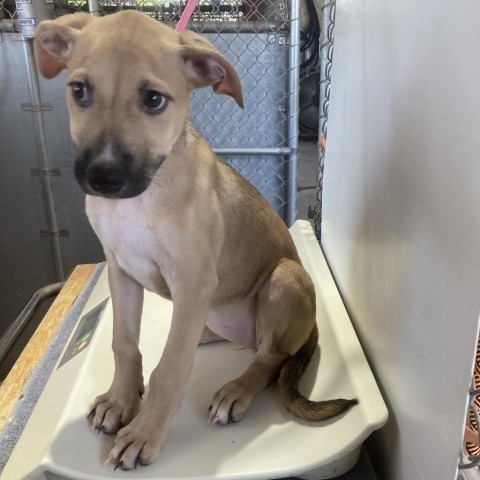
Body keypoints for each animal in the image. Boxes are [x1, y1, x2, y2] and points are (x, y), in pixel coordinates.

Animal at [34, 12, 356, 472]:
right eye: (79, 90)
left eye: (154, 100)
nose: (103, 177)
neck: (144, 197)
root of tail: (311, 326)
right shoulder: (121, 271)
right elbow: (123, 343)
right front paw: (120, 400)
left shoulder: (192, 281)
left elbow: (170, 369)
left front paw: (145, 434)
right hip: (213, 310)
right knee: (227, 339)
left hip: (285, 279)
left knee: (268, 357)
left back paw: (237, 390)